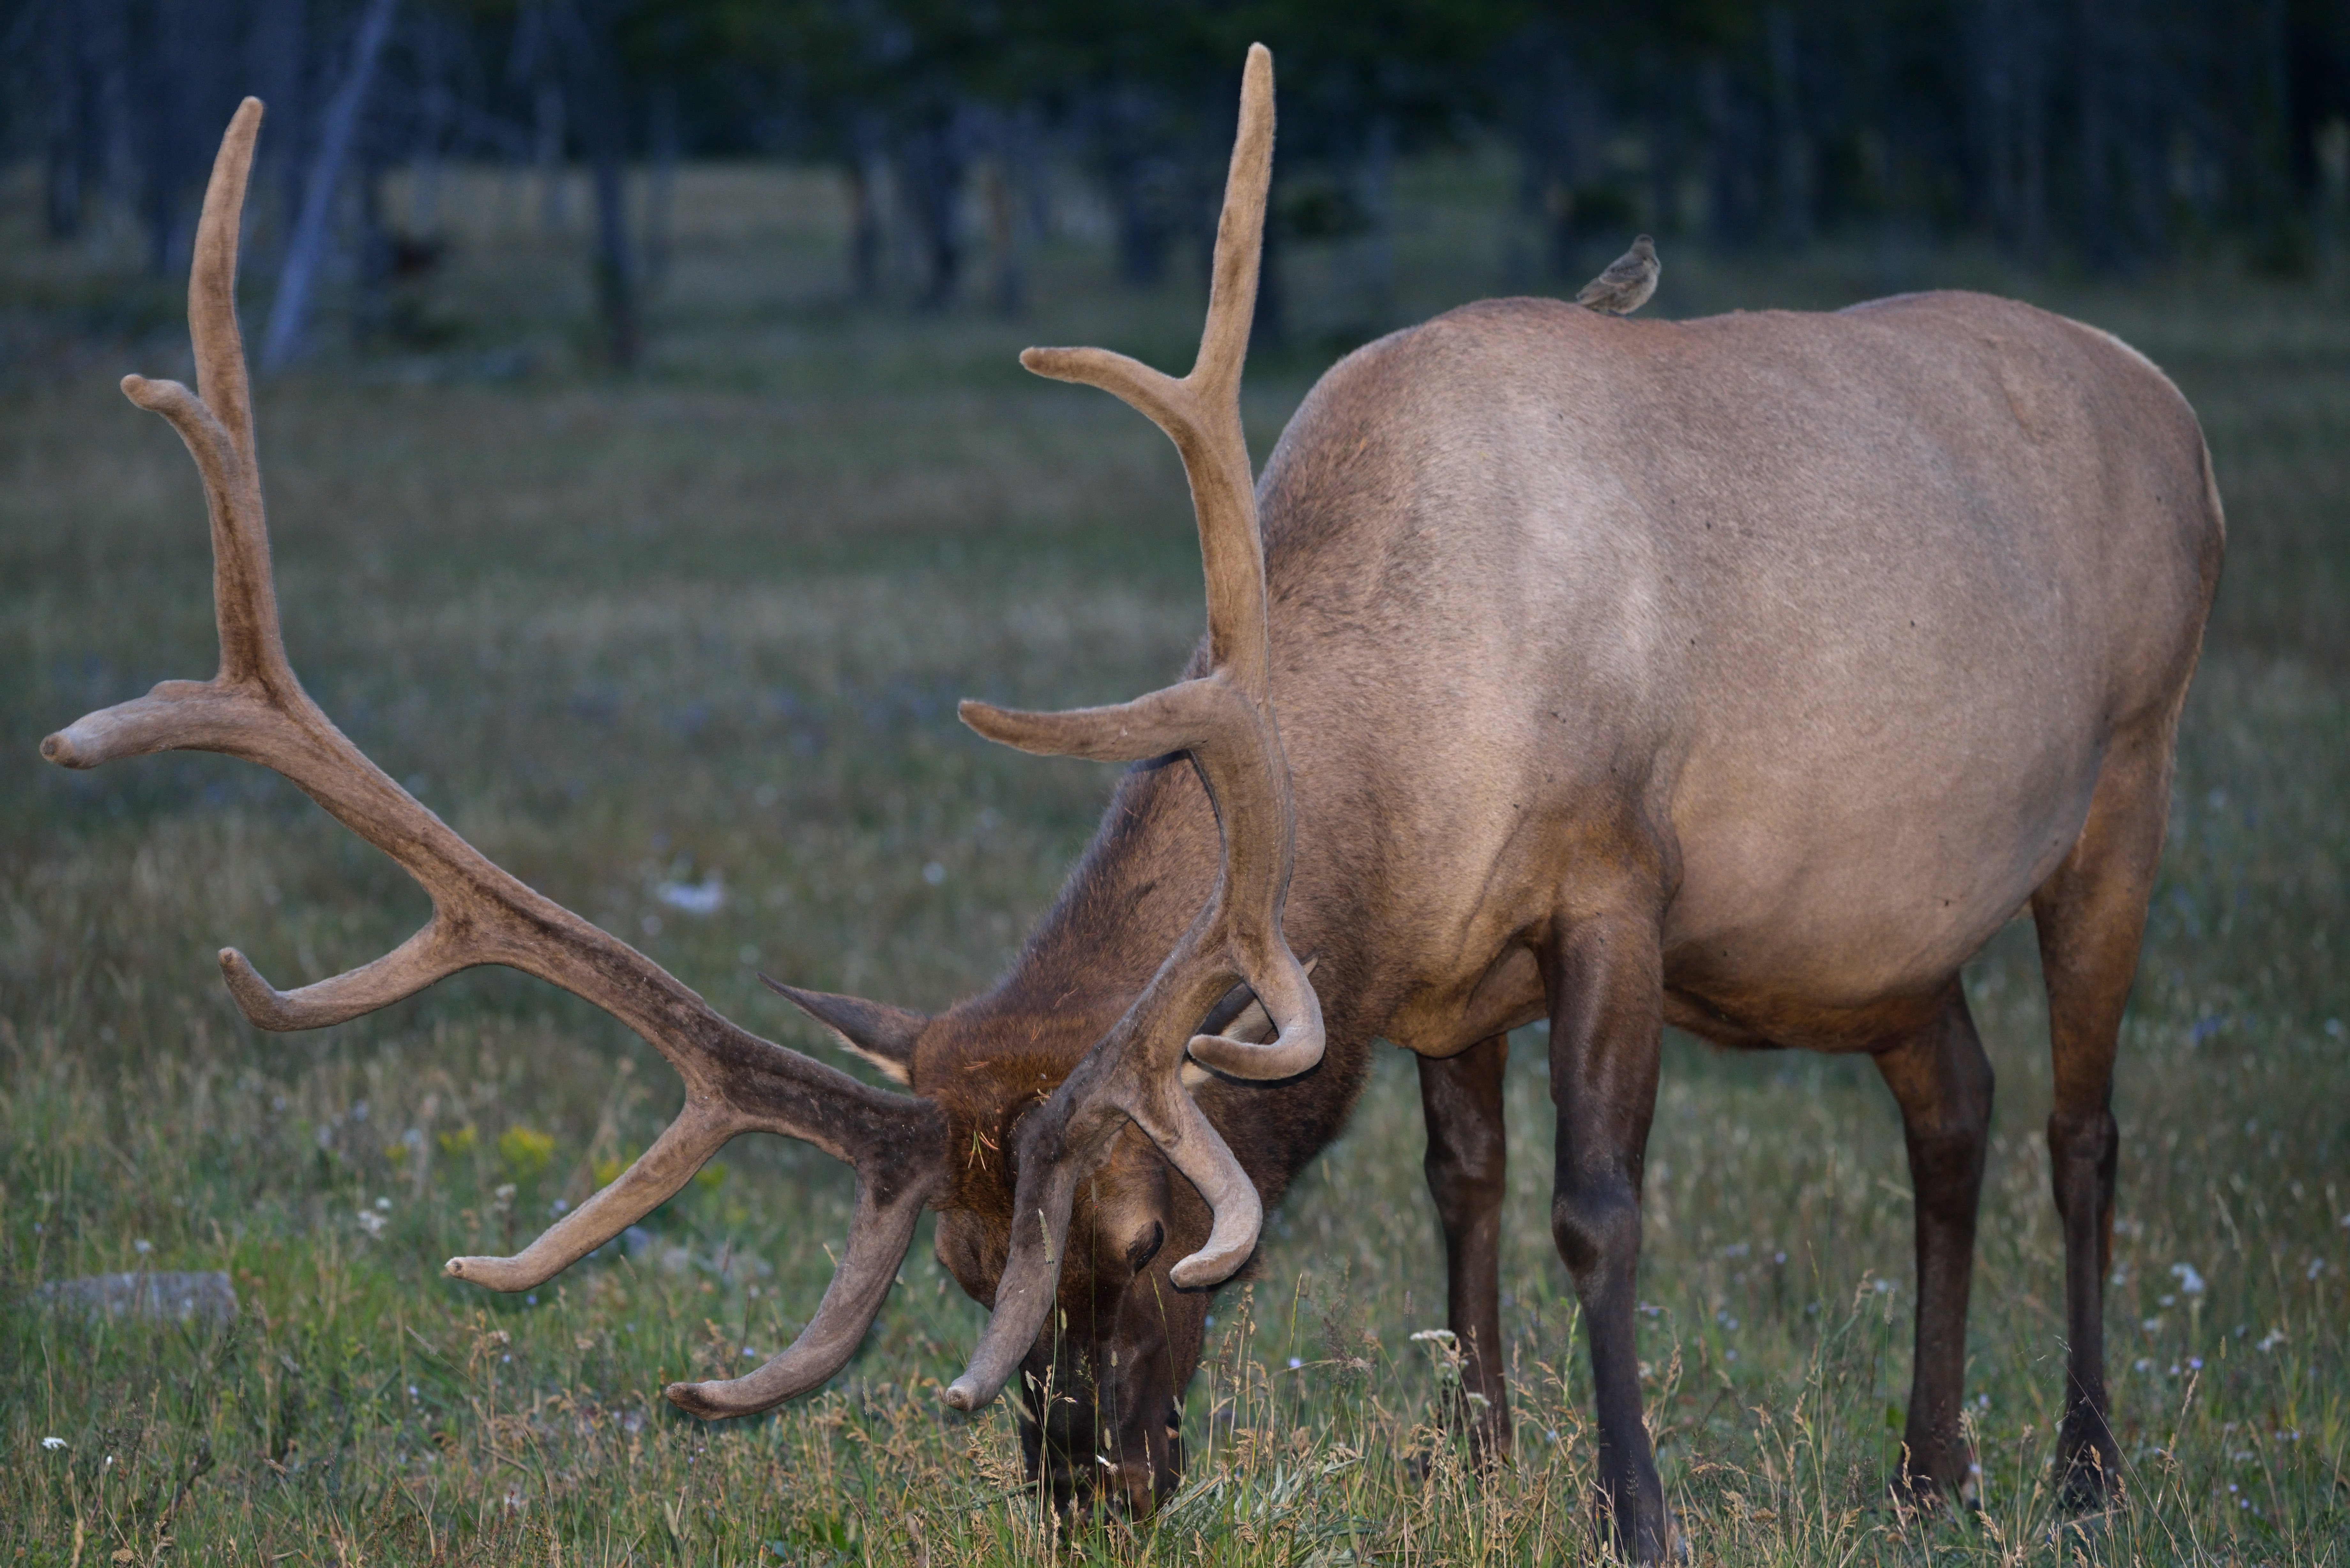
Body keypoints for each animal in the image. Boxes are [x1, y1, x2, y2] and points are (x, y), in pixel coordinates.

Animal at [47, 48, 2222, 1562]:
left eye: (1154, 1229)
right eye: (955, 1265)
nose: (1088, 1489)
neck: (1390, 757)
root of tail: (2168, 396)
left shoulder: (1615, 883)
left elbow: (1596, 1211)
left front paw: (1638, 1508)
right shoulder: (1448, 978)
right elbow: (1463, 1202)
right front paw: (1474, 1469)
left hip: (2123, 784)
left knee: (2083, 1131)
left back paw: (2081, 1470)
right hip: (1870, 943)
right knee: (1949, 1107)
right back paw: (1928, 1474)